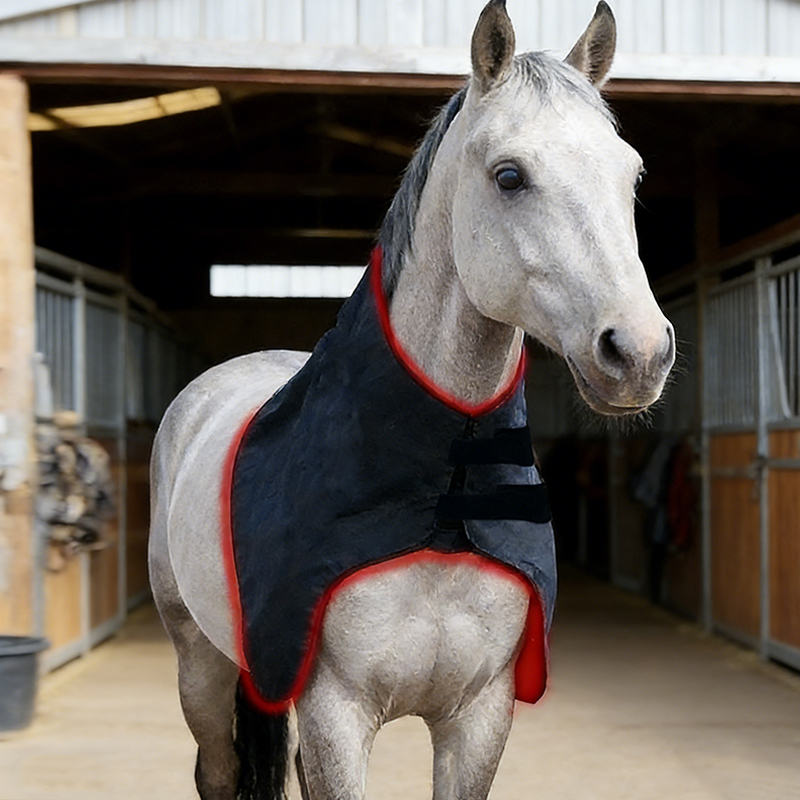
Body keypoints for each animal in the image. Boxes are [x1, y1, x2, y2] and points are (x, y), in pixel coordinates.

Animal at [148, 2, 675, 798]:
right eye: (510, 175)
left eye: (632, 173)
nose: (639, 352)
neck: (443, 494)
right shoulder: (338, 714)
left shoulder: (479, 717)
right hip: (199, 667)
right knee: (217, 768)